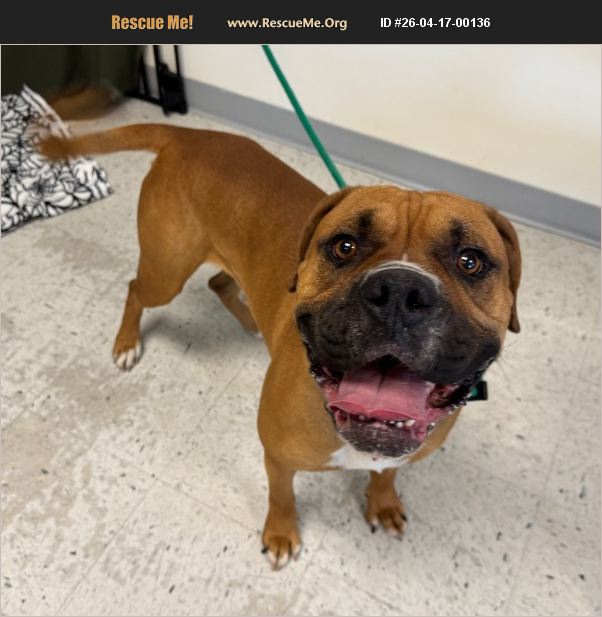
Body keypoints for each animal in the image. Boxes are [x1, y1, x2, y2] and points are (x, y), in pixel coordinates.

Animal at [40, 124, 521, 569]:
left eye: (470, 261)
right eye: (344, 246)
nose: (401, 291)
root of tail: (191, 133)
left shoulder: (401, 453)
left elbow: (386, 474)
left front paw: (382, 502)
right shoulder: (277, 457)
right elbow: (281, 496)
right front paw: (281, 534)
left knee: (218, 283)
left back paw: (252, 322)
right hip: (167, 271)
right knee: (135, 289)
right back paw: (126, 342)